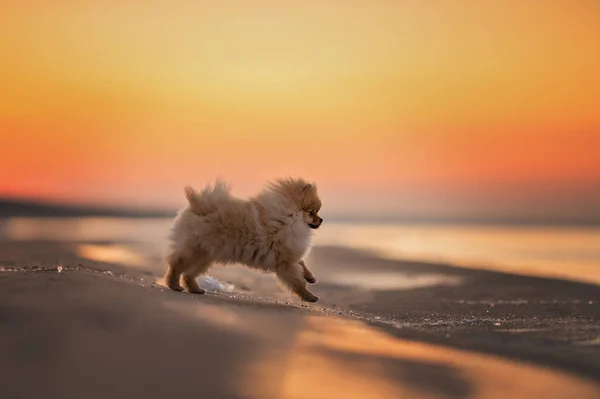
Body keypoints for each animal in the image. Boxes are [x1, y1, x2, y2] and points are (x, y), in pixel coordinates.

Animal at [163, 178, 324, 304]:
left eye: (316, 212)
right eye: (312, 212)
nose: (321, 220)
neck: (290, 220)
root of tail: (198, 206)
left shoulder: (291, 253)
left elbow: (302, 263)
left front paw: (310, 277)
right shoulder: (285, 263)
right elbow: (298, 283)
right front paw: (310, 297)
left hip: (205, 256)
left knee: (188, 274)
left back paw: (195, 289)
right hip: (194, 251)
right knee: (176, 265)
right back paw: (174, 285)